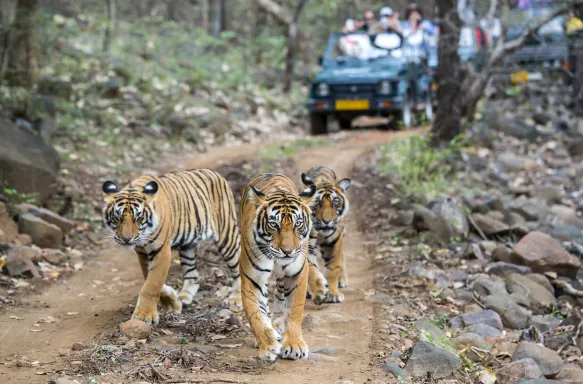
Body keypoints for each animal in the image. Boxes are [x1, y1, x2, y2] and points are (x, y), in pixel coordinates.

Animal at [102, 169, 242, 324]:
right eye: (117, 217)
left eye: (138, 218)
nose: (126, 239)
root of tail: (215, 173)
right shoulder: (142, 253)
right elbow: (149, 278)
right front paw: (173, 303)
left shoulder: (161, 251)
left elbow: (152, 284)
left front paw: (144, 316)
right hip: (187, 245)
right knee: (193, 275)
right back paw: (184, 297)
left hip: (227, 235)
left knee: (238, 267)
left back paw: (236, 298)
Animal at [240, 172, 318, 362]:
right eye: (274, 225)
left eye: (298, 224)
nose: (287, 251)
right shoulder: (252, 278)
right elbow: (256, 314)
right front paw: (268, 345)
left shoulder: (297, 274)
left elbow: (294, 311)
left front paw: (294, 345)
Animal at [302, 166, 352, 304]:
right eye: (317, 203)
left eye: (335, 203)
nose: (327, 221)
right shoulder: (306, 245)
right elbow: (311, 269)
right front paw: (318, 291)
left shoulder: (335, 240)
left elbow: (333, 268)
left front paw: (333, 294)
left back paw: (342, 280)